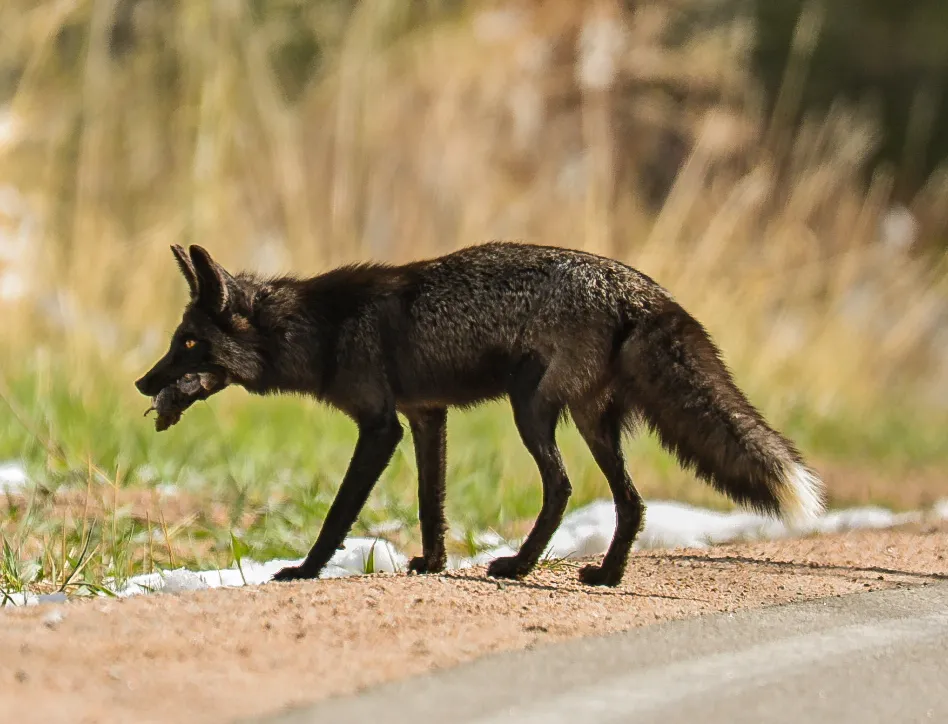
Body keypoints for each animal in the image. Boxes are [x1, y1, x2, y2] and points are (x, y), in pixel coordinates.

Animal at [135, 242, 825, 587]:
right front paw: (434, 565)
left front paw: (304, 571)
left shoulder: (380, 426)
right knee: (630, 501)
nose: (143, 382)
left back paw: (520, 567)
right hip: (591, 423)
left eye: (188, 345)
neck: (322, 329)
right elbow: (430, 503)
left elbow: (339, 514)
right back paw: (606, 575)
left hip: (534, 410)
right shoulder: (426, 417)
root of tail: (641, 288)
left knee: (562, 487)